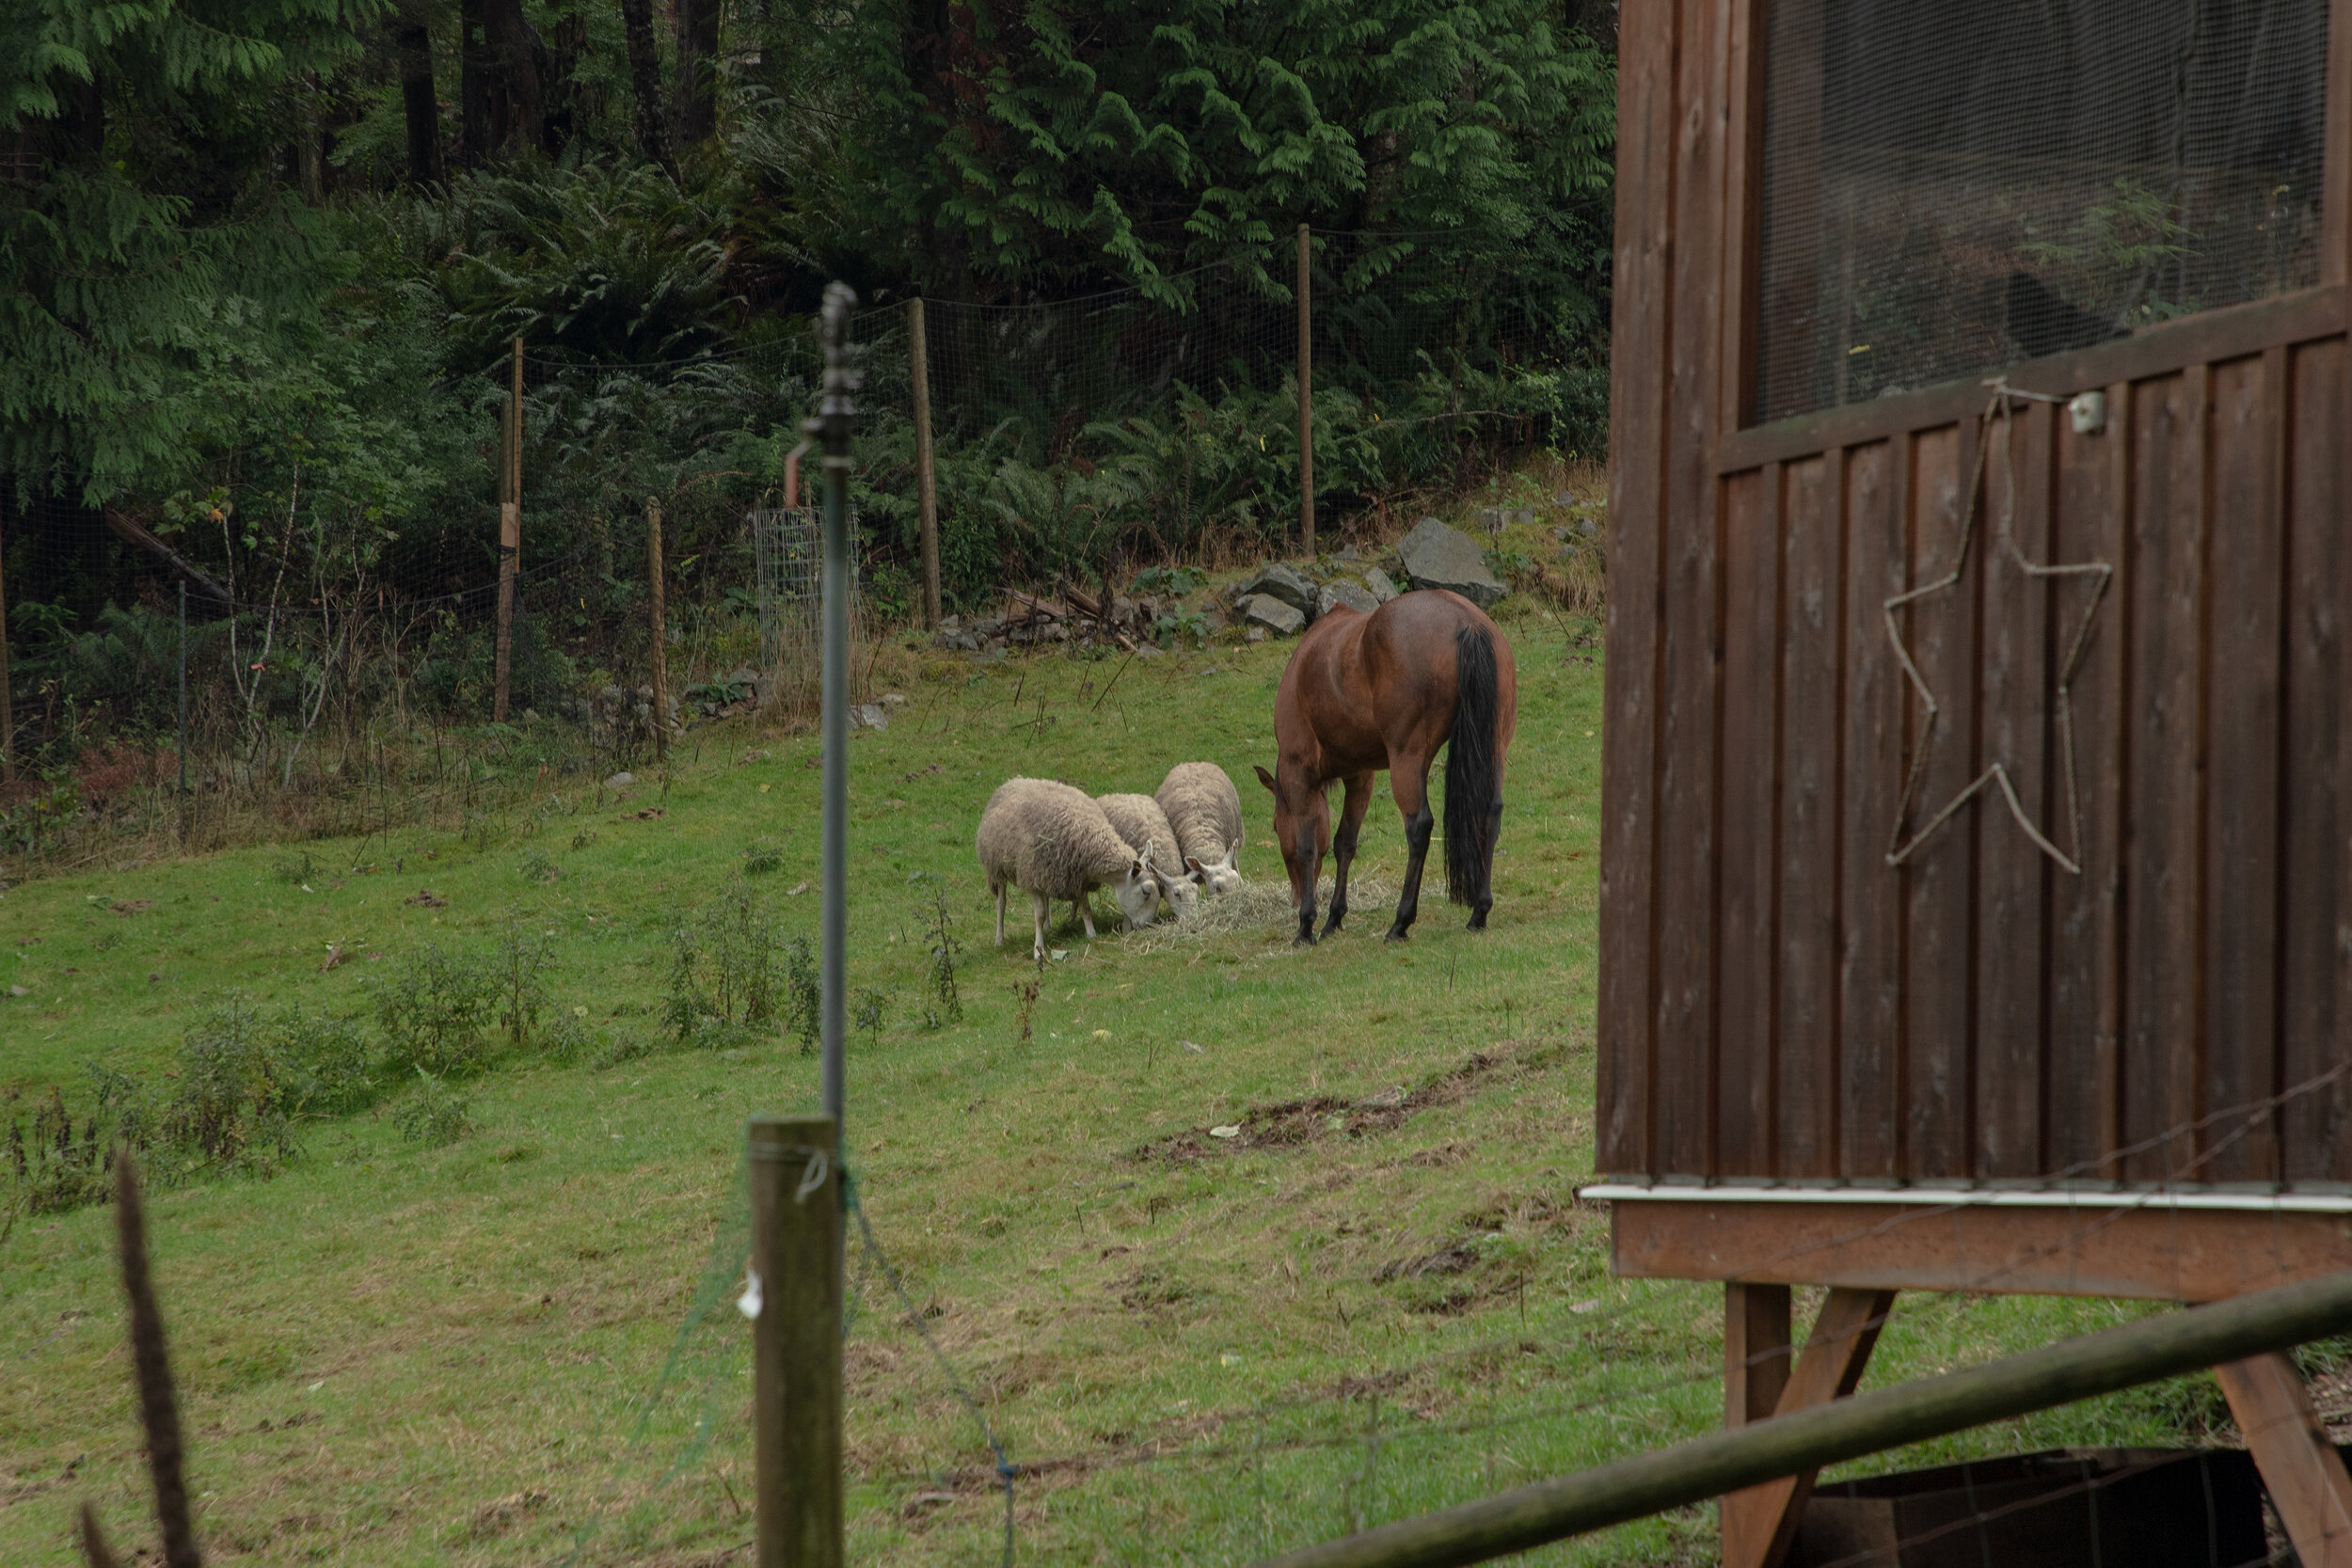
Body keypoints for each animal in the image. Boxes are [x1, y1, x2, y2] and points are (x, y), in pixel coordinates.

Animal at [969, 780, 1162, 963]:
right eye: (1146, 892)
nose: (1147, 926)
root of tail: (1012, 782)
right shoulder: (1033, 878)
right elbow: (1039, 915)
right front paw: (1039, 950)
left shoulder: (1077, 878)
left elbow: (1085, 907)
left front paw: (1091, 933)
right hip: (997, 869)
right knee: (1001, 903)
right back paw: (999, 939)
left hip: (1045, 875)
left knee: (1046, 898)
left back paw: (1048, 927)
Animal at [1251, 587, 1524, 944]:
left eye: (1274, 826)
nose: (1296, 897)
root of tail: (1468, 622)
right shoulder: (1360, 776)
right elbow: (1345, 843)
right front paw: (1333, 918)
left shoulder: (1299, 774)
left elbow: (1307, 846)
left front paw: (1306, 925)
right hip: (1493, 751)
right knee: (1490, 814)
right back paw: (1479, 911)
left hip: (1406, 760)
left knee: (1419, 827)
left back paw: (1400, 922)